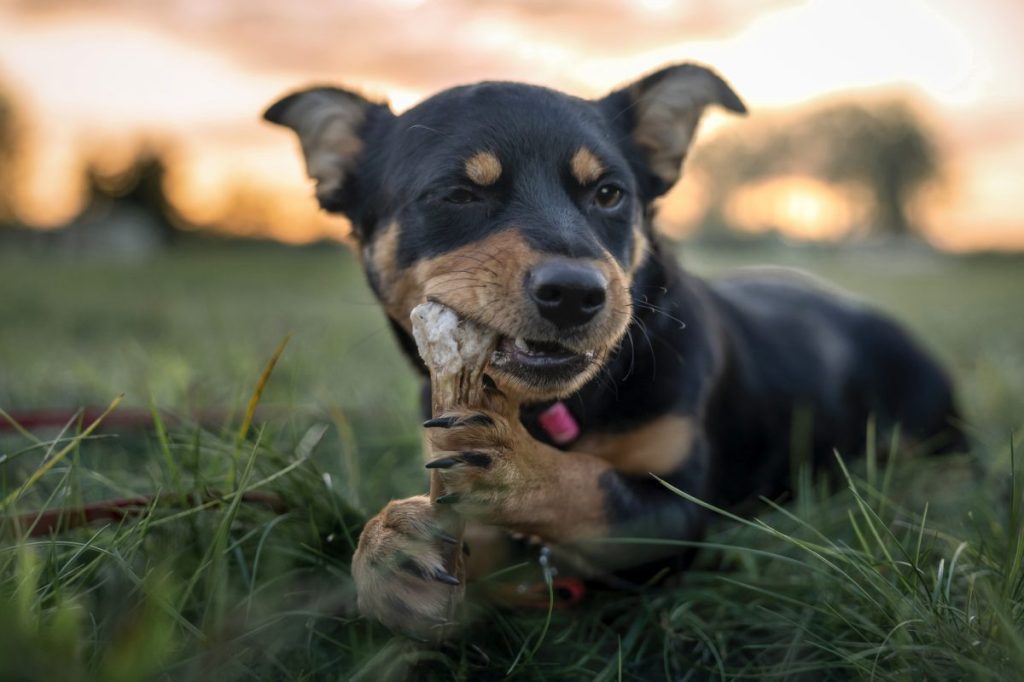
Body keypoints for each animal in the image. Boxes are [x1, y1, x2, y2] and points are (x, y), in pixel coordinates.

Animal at [264, 63, 966, 638]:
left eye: (608, 193)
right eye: (458, 193)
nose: (576, 294)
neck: (566, 409)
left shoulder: (676, 520)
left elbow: (589, 488)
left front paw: (514, 467)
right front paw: (391, 549)